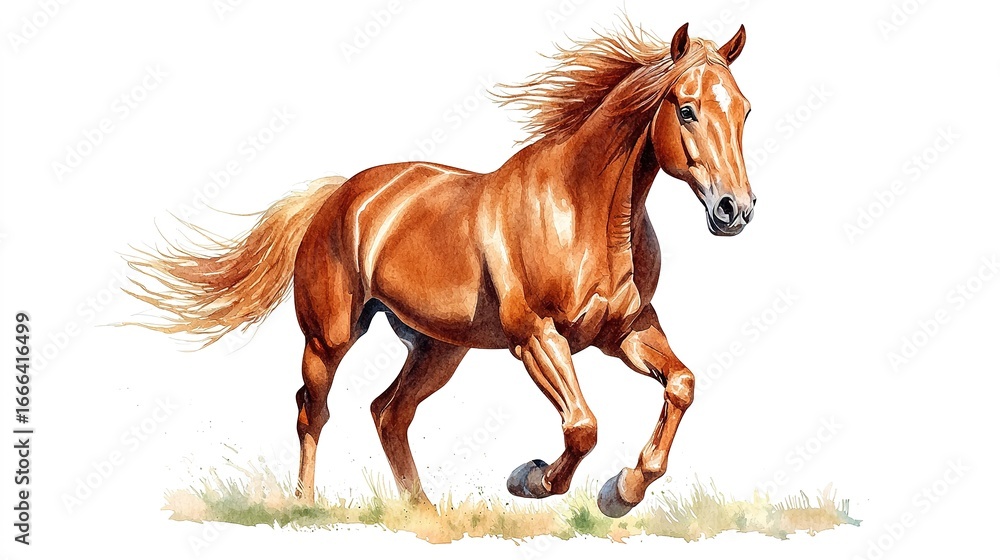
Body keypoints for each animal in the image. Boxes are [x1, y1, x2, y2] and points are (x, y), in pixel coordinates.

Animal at [122, 21, 755, 518]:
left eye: (744, 110)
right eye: (687, 109)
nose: (735, 209)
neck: (584, 212)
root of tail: (338, 196)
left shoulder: (625, 331)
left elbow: (681, 385)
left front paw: (621, 492)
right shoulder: (537, 337)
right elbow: (582, 426)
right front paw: (531, 479)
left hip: (439, 349)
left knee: (388, 413)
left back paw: (421, 509)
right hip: (330, 339)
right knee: (312, 410)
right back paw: (305, 503)